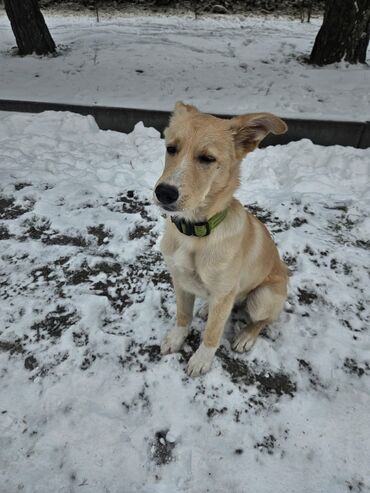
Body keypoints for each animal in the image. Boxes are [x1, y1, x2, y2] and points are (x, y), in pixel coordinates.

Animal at [153, 101, 290, 376]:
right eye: (171, 148)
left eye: (207, 158)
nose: (164, 193)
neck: (194, 233)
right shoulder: (180, 280)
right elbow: (183, 315)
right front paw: (176, 338)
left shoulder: (224, 292)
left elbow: (213, 332)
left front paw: (201, 360)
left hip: (263, 297)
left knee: (263, 320)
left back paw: (246, 336)